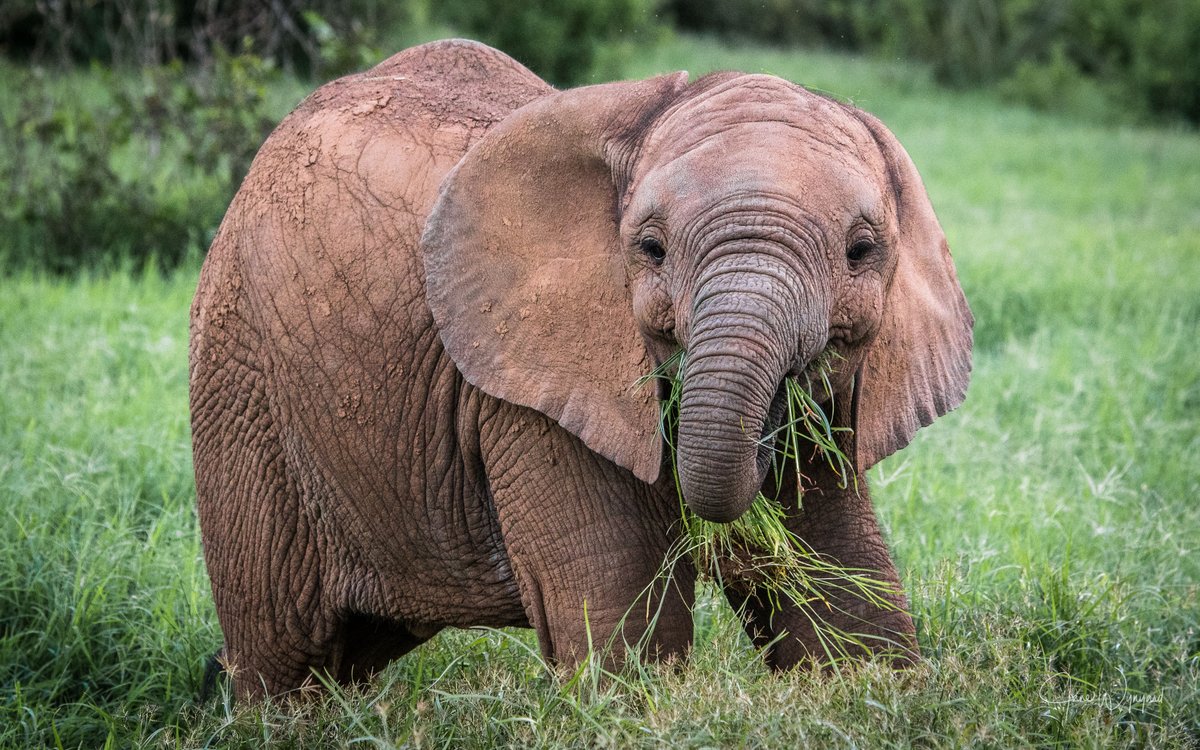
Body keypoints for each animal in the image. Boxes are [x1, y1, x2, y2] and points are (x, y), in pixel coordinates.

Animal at [189, 38, 972, 699]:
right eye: (651, 249)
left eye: (862, 251)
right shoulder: (528, 390)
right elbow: (624, 621)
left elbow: (847, 591)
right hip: (241, 374)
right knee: (283, 655)